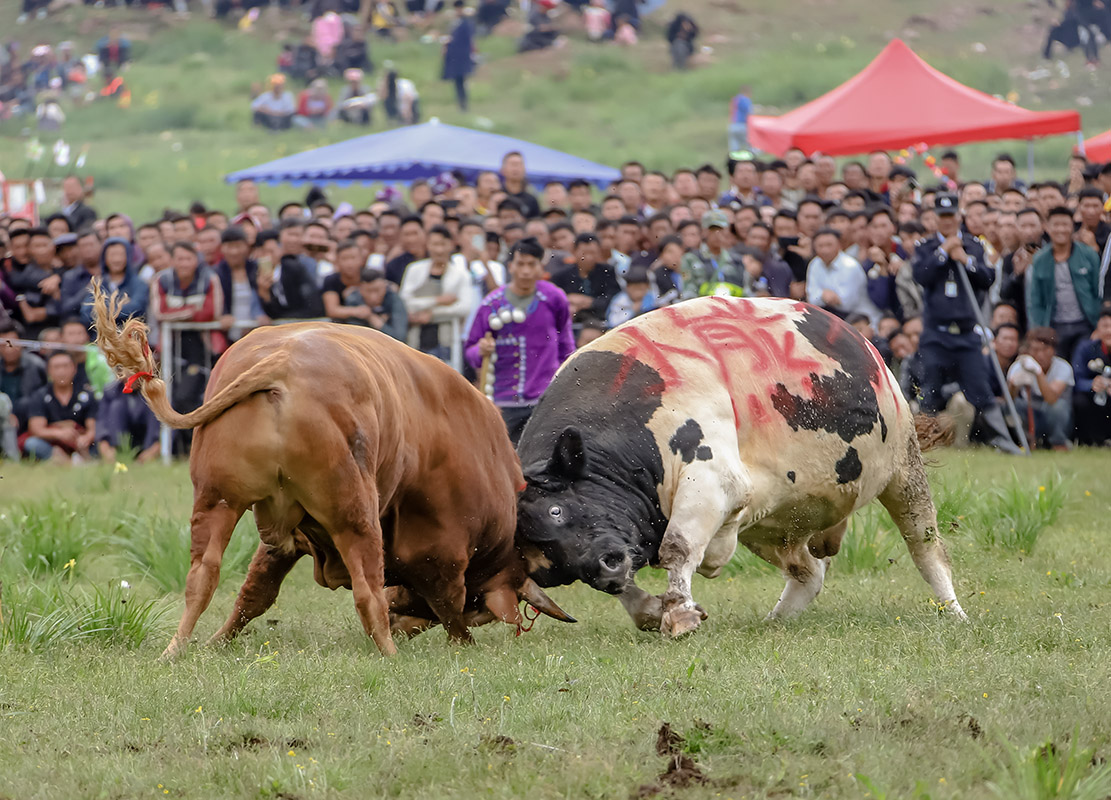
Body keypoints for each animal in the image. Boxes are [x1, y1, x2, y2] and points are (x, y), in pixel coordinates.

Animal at [93, 281, 573, 657]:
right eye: (480, 613)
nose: (405, 622)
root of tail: (284, 361)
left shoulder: (285, 542)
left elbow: (255, 592)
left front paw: (219, 641)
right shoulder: (441, 551)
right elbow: (447, 603)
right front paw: (460, 643)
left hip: (218, 498)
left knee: (202, 577)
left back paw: (176, 650)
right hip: (353, 510)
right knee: (367, 588)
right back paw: (388, 651)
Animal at [515, 295, 968, 635]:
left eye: (557, 510)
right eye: (550, 562)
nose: (605, 567)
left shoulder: (713, 479)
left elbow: (677, 547)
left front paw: (680, 614)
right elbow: (634, 583)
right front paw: (651, 609)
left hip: (903, 468)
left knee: (927, 548)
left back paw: (953, 611)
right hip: (775, 524)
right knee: (809, 573)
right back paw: (775, 621)